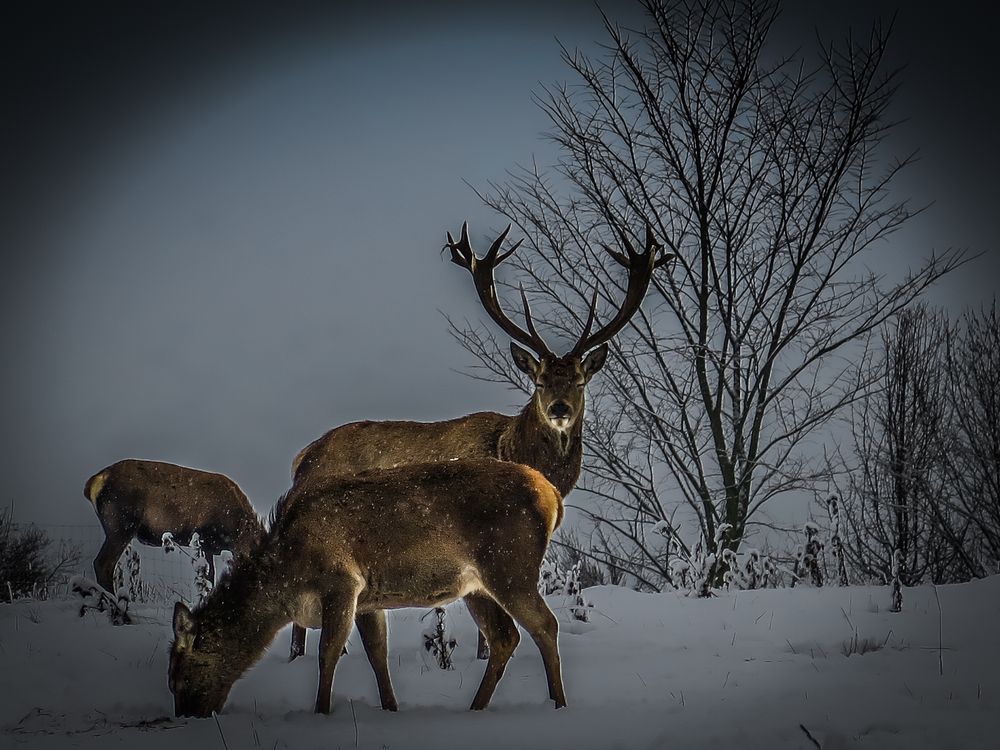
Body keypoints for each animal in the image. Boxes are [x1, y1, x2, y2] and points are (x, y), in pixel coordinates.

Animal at [83, 458, 262, 592]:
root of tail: (93, 482)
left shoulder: (210, 547)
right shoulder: (203, 539)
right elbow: (208, 579)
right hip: (121, 525)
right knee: (103, 564)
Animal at [168, 458, 568, 716]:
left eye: (180, 677)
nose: (187, 716)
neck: (286, 580)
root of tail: (553, 496)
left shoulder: (341, 583)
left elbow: (327, 653)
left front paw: (321, 712)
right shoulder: (368, 601)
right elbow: (378, 655)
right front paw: (390, 708)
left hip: (510, 568)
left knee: (546, 625)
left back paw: (558, 705)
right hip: (477, 587)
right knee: (505, 637)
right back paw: (476, 707)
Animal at [286, 220, 672, 660]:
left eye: (579, 380)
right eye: (539, 381)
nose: (558, 408)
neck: (512, 448)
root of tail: (301, 459)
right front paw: (481, 655)